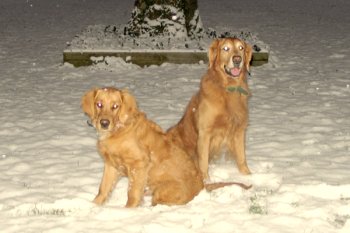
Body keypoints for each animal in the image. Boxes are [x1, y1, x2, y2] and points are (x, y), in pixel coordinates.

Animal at [82, 86, 252, 207]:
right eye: (99, 104)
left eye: (115, 106)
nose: (104, 123)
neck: (118, 130)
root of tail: (201, 186)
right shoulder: (111, 165)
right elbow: (103, 189)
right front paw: (93, 207)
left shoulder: (139, 164)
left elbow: (132, 193)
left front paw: (129, 212)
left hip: (163, 191)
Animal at [168, 38, 253, 180]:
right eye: (225, 49)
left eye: (241, 48)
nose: (237, 59)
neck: (228, 88)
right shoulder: (204, 133)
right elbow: (203, 161)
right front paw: (206, 181)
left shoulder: (239, 130)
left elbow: (242, 157)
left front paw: (247, 176)